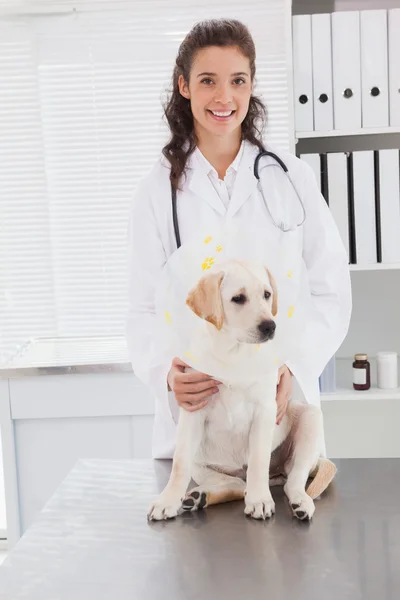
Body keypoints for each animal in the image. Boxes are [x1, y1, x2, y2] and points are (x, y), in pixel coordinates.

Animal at [148, 262, 334, 520]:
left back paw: (299, 502)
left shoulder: (264, 411)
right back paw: (199, 496)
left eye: (267, 294)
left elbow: (258, 461)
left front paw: (259, 500)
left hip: (311, 420)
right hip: (201, 462)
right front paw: (167, 501)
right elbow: (178, 465)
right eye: (238, 298)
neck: (233, 353)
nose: (270, 326)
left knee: (293, 480)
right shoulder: (193, 411)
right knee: (236, 484)